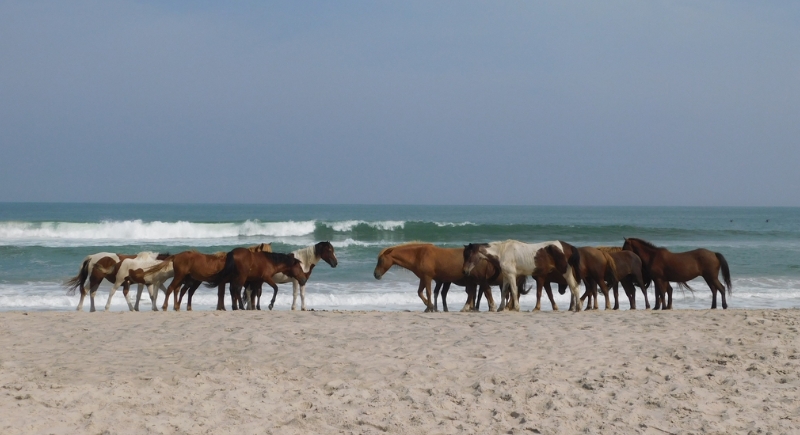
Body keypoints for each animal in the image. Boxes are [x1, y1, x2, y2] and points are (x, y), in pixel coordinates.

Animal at [372, 243, 503, 312]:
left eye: (381, 260)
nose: (376, 274)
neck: (419, 255)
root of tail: (483, 256)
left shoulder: (427, 277)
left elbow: (428, 292)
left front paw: (430, 307)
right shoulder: (423, 278)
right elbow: (420, 292)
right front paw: (429, 306)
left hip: (479, 280)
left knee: (484, 292)